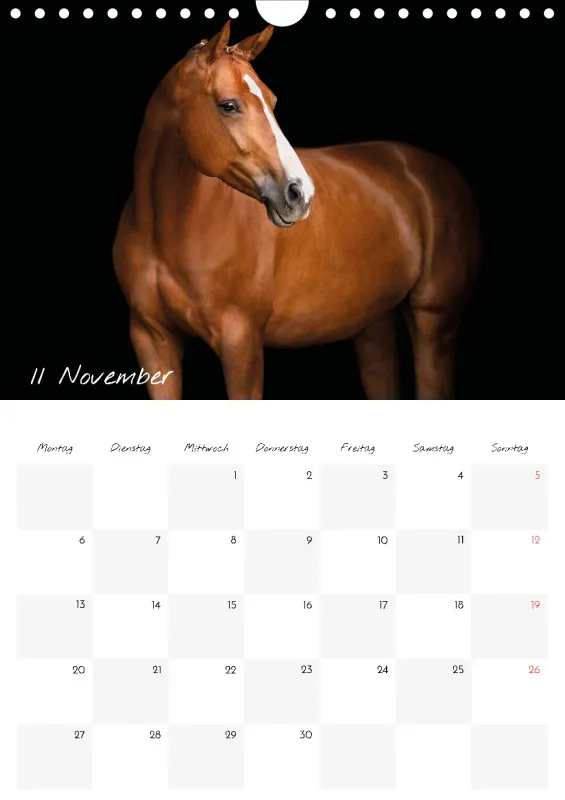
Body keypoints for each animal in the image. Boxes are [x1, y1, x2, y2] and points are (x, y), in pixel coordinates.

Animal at [113, 21, 481, 400]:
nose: (300, 193)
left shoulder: (241, 344)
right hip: (373, 323)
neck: (165, 229)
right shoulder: (153, 341)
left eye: (272, 101)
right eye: (228, 105)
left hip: (434, 319)